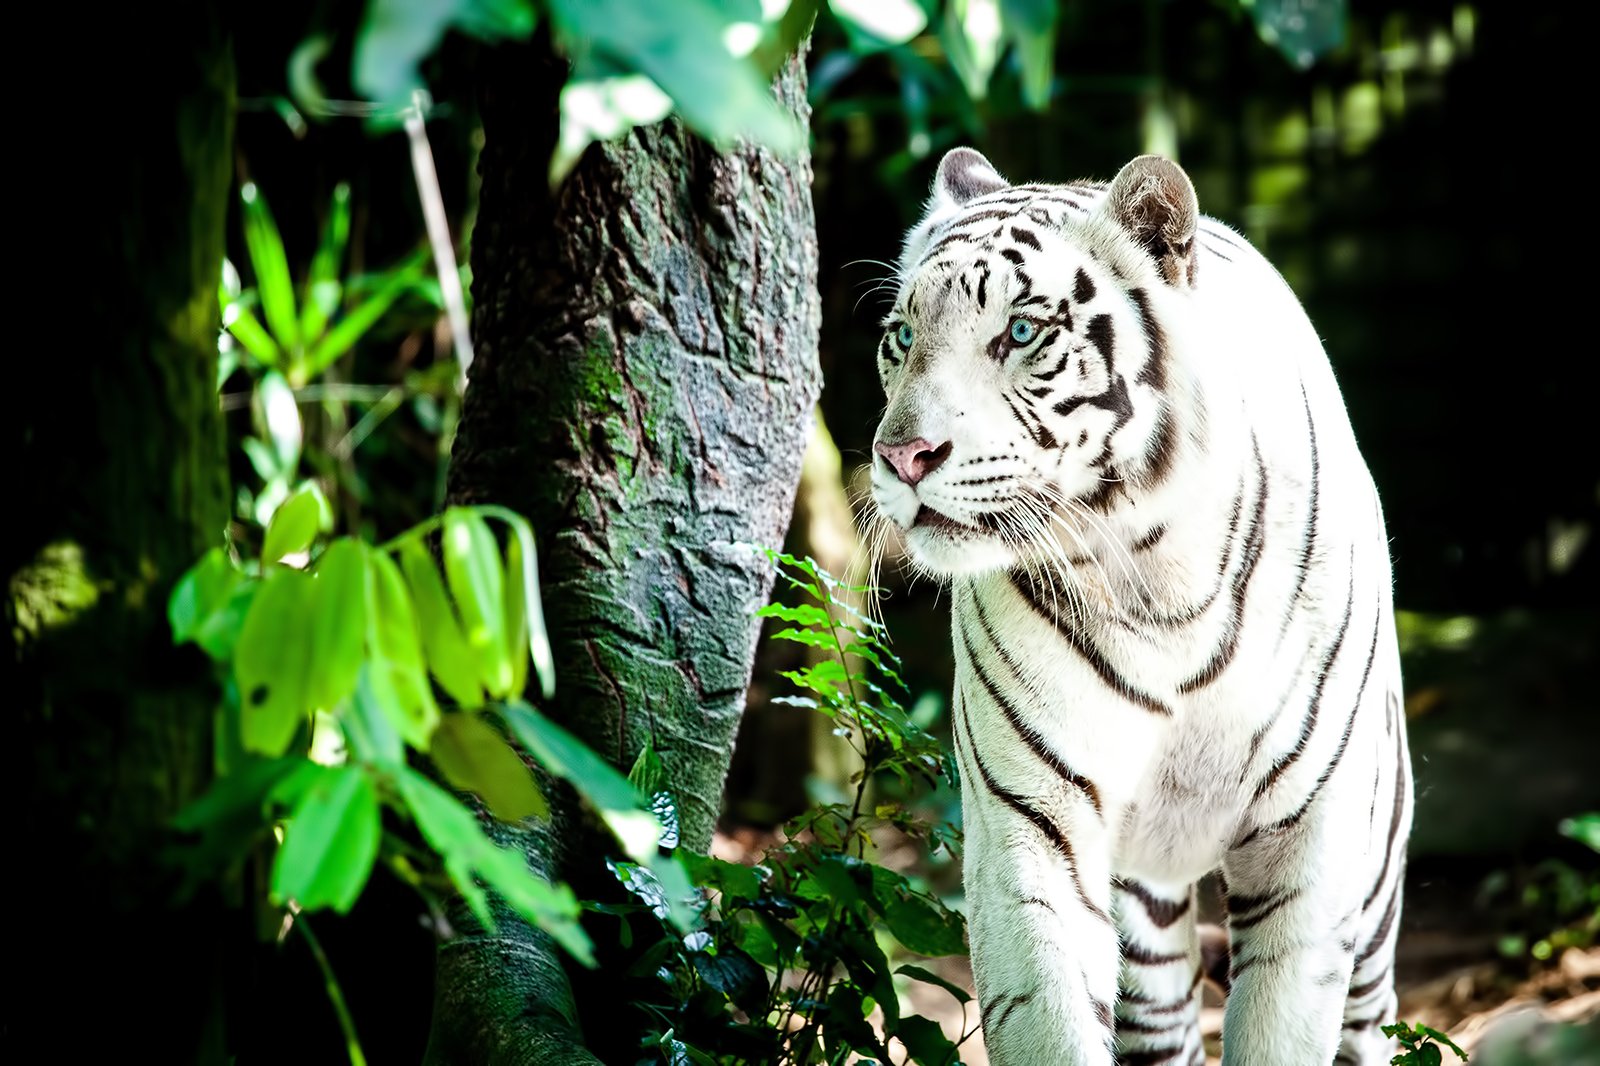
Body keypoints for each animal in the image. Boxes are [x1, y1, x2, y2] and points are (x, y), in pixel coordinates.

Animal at [870, 149, 1408, 1062]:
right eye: (902, 336)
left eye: (1021, 333)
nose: (902, 456)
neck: (1155, 576)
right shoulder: (1033, 825)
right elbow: (1050, 1018)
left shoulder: (1312, 838)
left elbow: (1283, 1025)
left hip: (1372, 893)